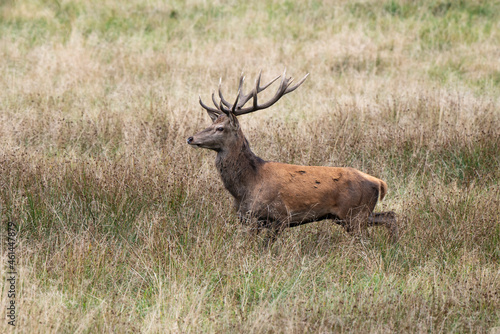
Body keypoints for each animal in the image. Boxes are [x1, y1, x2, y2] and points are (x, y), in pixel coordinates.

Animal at [188, 70, 398, 243]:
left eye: (220, 128)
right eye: (211, 124)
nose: (191, 138)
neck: (247, 186)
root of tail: (379, 182)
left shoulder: (279, 216)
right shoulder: (246, 218)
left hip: (354, 215)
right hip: (357, 215)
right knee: (391, 215)